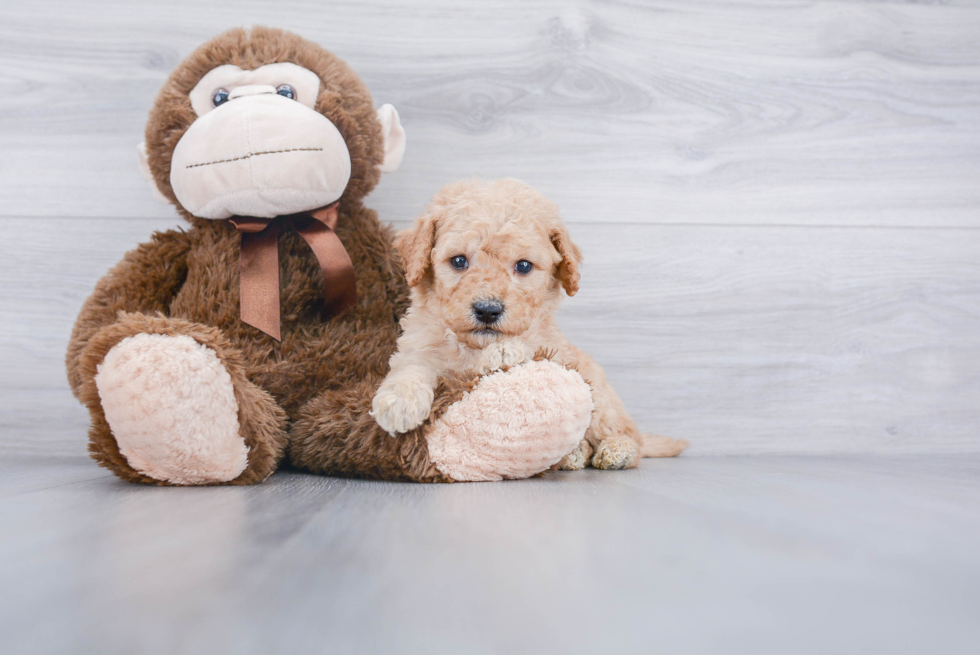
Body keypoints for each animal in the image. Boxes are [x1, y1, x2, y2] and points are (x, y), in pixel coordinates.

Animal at [370, 177, 688, 468]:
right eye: (459, 261)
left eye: (523, 266)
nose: (488, 310)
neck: (474, 347)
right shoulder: (419, 344)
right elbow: (411, 366)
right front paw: (399, 402)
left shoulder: (551, 348)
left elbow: (528, 346)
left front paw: (504, 351)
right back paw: (573, 455)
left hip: (599, 396)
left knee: (626, 434)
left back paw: (616, 450)